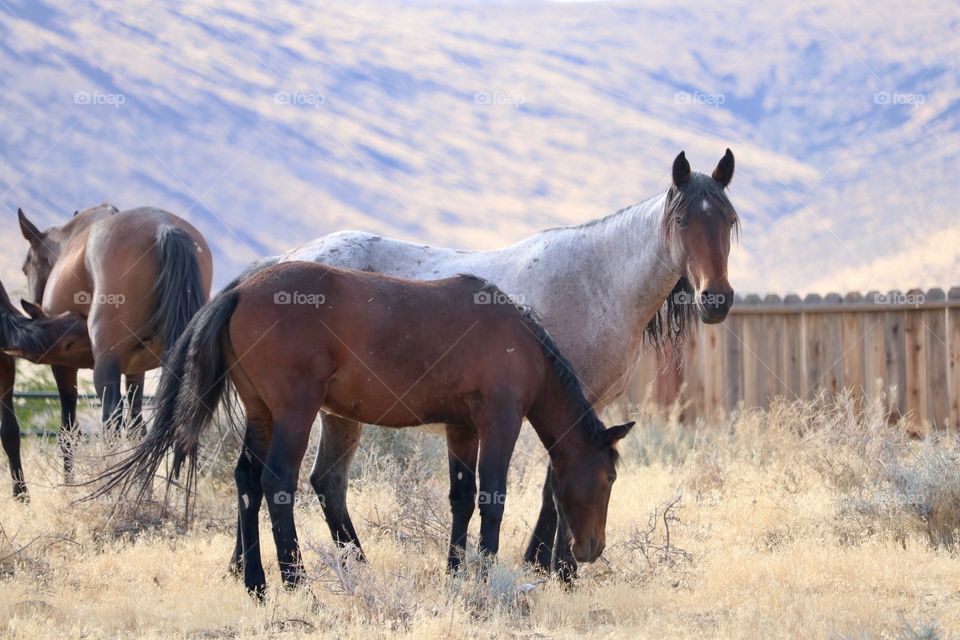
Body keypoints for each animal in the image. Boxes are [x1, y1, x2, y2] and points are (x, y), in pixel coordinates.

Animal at [14, 202, 212, 488]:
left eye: (25, 268)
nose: (34, 308)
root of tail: (164, 228)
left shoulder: (62, 366)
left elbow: (68, 431)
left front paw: (69, 486)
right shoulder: (136, 369)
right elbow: (137, 427)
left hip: (104, 367)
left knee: (111, 420)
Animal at [99, 260, 636, 596]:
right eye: (609, 477)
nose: (591, 550)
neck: (519, 340)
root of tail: (239, 291)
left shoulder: (461, 428)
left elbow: (462, 499)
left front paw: (456, 573)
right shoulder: (499, 422)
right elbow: (492, 499)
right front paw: (483, 576)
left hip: (262, 415)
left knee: (247, 481)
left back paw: (257, 583)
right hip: (295, 414)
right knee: (277, 483)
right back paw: (296, 582)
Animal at [234, 149, 744, 576]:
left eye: (729, 220)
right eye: (683, 223)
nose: (716, 299)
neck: (596, 281)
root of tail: (278, 263)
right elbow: (552, 484)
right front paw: (551, 567)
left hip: (335, 412)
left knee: (317, 482)